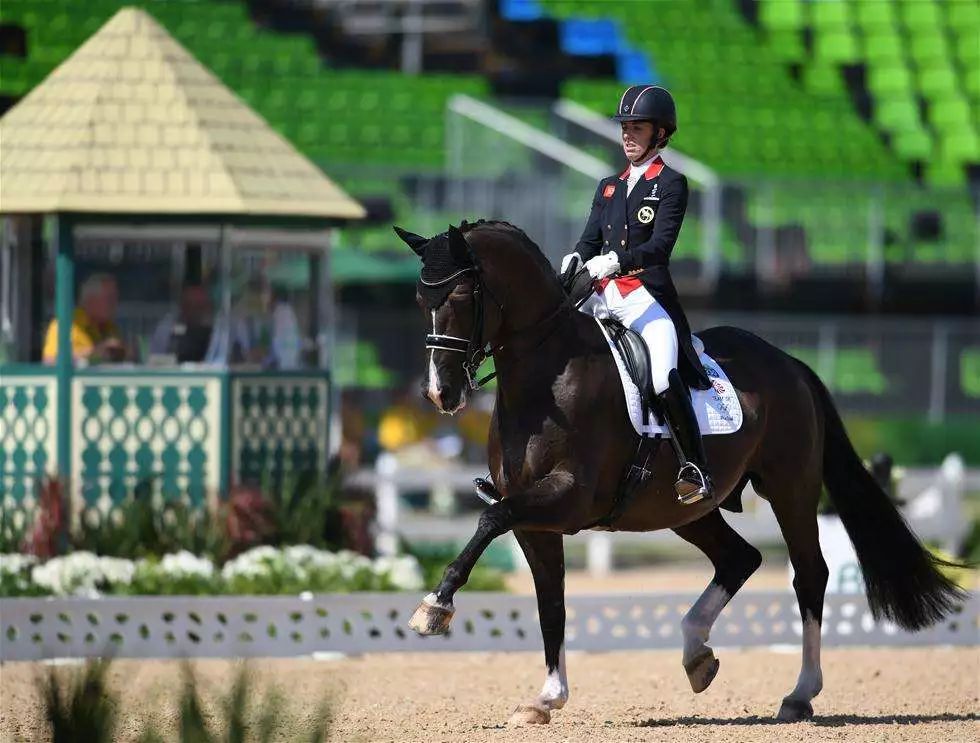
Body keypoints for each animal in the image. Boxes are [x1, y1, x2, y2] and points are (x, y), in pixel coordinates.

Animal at [392, 221, 964, 728]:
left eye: (462, 294)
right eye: (420, 300)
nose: (440, 394)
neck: (545, 378)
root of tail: (791, 364)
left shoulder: (567, 497)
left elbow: (489, 521)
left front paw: (434, 608)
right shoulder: (537, 521)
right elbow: (549, 601)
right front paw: (546, 699)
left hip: (791, 487)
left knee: (809, 575)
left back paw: (799, 694)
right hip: (688, 509)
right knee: (740, 558)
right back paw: (697, 655)